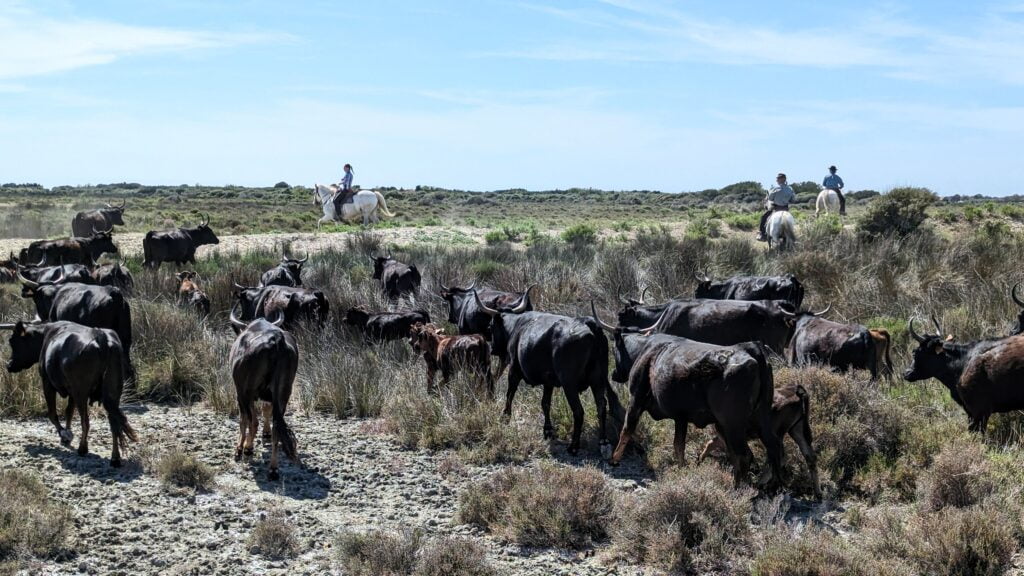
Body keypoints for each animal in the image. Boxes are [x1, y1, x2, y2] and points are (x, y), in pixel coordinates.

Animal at [2, 317, 136, 467]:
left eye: (13, 341)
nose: (9, 365)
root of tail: (100, 336)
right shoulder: (71, 391)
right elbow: (69, 412)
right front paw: (67, 432)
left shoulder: (48, 383)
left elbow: (53, 414)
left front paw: (65, 435)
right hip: (112, 395)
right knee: (114, 424)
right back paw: (115, 458)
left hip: (81, 393)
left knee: (85, 421)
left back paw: (83, 448)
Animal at [229, 305, 299, 479]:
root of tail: (276, 341)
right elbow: (265, 412)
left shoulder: (240, 393)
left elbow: (245, 420)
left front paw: (241, 448)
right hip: (283, 394)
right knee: (276, 428)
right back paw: (273, 468)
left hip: (246, 391)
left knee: (250, 420)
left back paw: (248, 450)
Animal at [473, 286, 622, 453]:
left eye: (491, 326)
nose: (492, 349)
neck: (517, 325)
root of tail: (588, 324)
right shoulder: (548, 381)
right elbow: (545, 403)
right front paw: (548, 430)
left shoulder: (514, 370)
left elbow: (510, 394)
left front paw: (505, 417)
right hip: (598, 380)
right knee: (601, 406)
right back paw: (603, 441)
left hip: (569, 384)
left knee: (578, 411)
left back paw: (573, 446)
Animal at [593, 303, 782, 485]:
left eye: (614, 349)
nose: (614, 374)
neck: (645, 350)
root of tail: (751, 350)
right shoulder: (681, 417)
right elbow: (679, 446)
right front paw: (682, 469)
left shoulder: (636, 399)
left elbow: (627, 429)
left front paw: (614, 459)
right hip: (756, 418)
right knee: (771, 447)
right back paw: (772, 485)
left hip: (732, 423)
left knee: (743, 455)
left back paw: (739, 488)